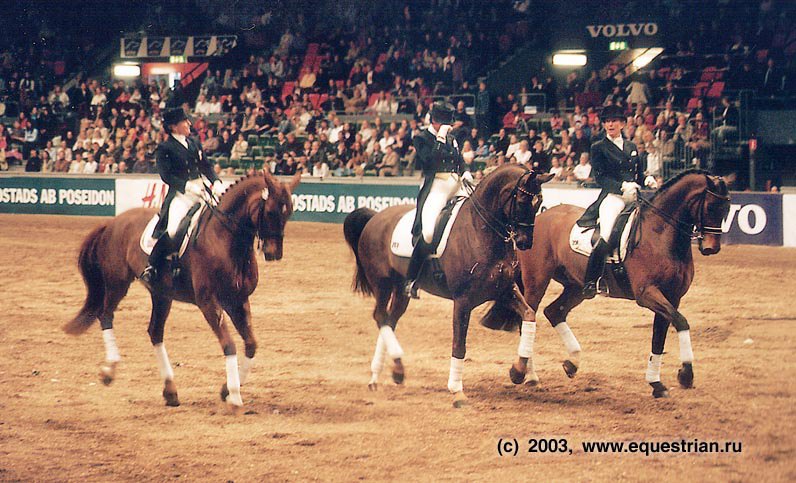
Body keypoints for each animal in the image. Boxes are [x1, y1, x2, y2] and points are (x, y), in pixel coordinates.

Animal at [64, 172, 298, 410]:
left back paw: (170, 391)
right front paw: (234, 396)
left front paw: (227, 390)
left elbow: (251, 344)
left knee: (155, 332)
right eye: (270, 211)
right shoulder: (209, 303)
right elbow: (229, 345)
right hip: (117, 282)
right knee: (105, 315)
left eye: (289, 211)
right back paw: (109, 370)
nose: (274, 253)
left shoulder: (237, 301)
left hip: (161, 294)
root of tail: (113, 222)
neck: (224, 238)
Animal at [342, 166, 552, 408]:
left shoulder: (505, 290)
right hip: (382, 283)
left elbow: (529, 316)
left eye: (540, 202)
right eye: (522, 201)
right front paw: (457, 391)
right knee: (380, 317)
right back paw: (391, 370)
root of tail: (375, 217)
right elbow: (459, 344)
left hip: (401, 289)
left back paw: (385, 374)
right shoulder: (463, 301)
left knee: (389, 320)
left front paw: (518, 372)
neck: (480, 230)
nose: (525, 242)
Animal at [506, 169, 732, 398]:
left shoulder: (672, 297)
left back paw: (572, 362)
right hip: (536, 282)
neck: (660, 233)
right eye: (711, 207)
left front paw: (656, 383)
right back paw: (528, 375)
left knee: (554, 312)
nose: (711, 248)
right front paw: (686, 374)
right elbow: (681, 322)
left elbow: (659, 337)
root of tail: (538, 219)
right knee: (529, 317)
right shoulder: (647, 294)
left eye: (726, 209)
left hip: (576, 287)